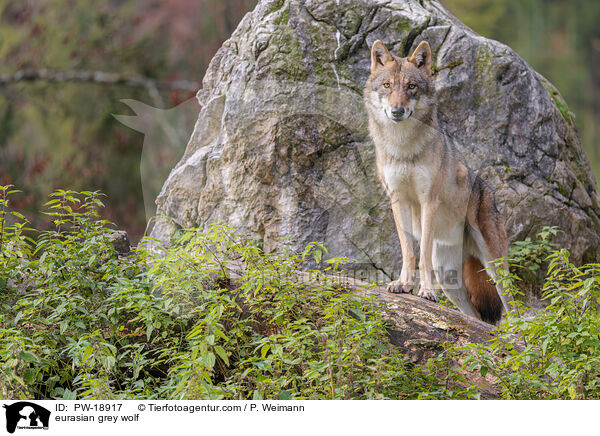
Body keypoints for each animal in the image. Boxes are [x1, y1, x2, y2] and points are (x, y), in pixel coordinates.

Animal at [364, 39, 512, 324]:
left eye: (411, 86)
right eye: (387, 85)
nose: (397, 111)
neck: (403, 147)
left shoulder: (428, 201)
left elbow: (422, 256)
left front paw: (425, 292)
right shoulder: (398, 200)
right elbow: (409, 250)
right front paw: (403, 284)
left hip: (494, 266)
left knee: (515, 307)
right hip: (452, 281)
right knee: (476, 318)